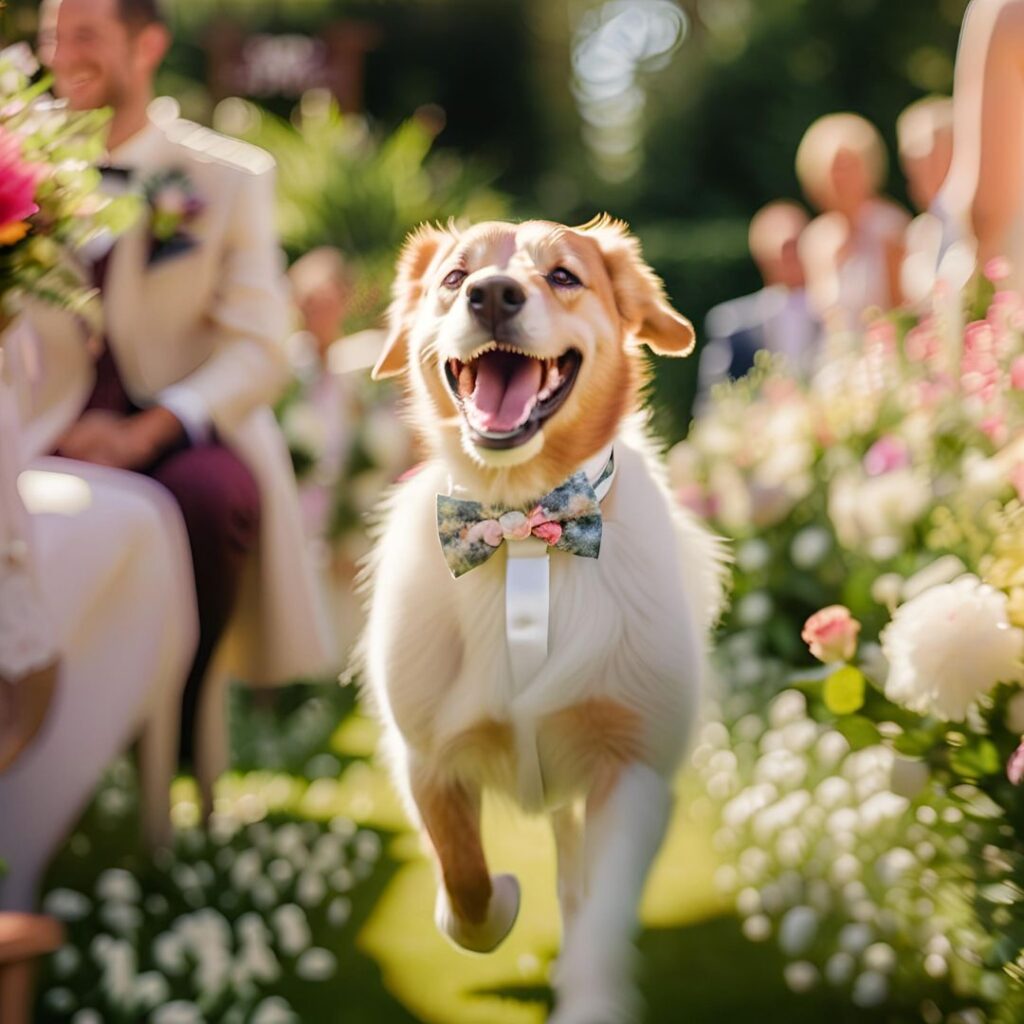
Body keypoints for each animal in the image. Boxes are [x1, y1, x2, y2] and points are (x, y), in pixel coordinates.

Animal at [360, 216, 729, 1024]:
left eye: (563, 276)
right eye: (454, 276)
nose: (493, 294)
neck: (522, 528)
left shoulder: (631, 769)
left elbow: (603, 914)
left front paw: (590, 995)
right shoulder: (426, 757)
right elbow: (464, 882)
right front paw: (494, 901)